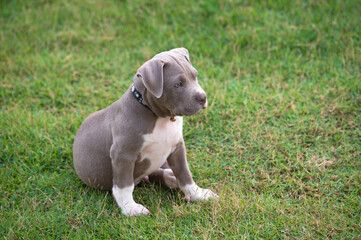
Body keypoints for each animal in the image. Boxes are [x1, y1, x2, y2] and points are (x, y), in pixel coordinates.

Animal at [73, 47, 217, 216]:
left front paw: (197, 194)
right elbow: (124, 185)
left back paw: (170, 177)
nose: (203, 97)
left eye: (195, 76)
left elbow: (184, 173)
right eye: (178, 84)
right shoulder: (123, 154)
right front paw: (130, 207)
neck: (160, 117)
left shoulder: (177, 147)